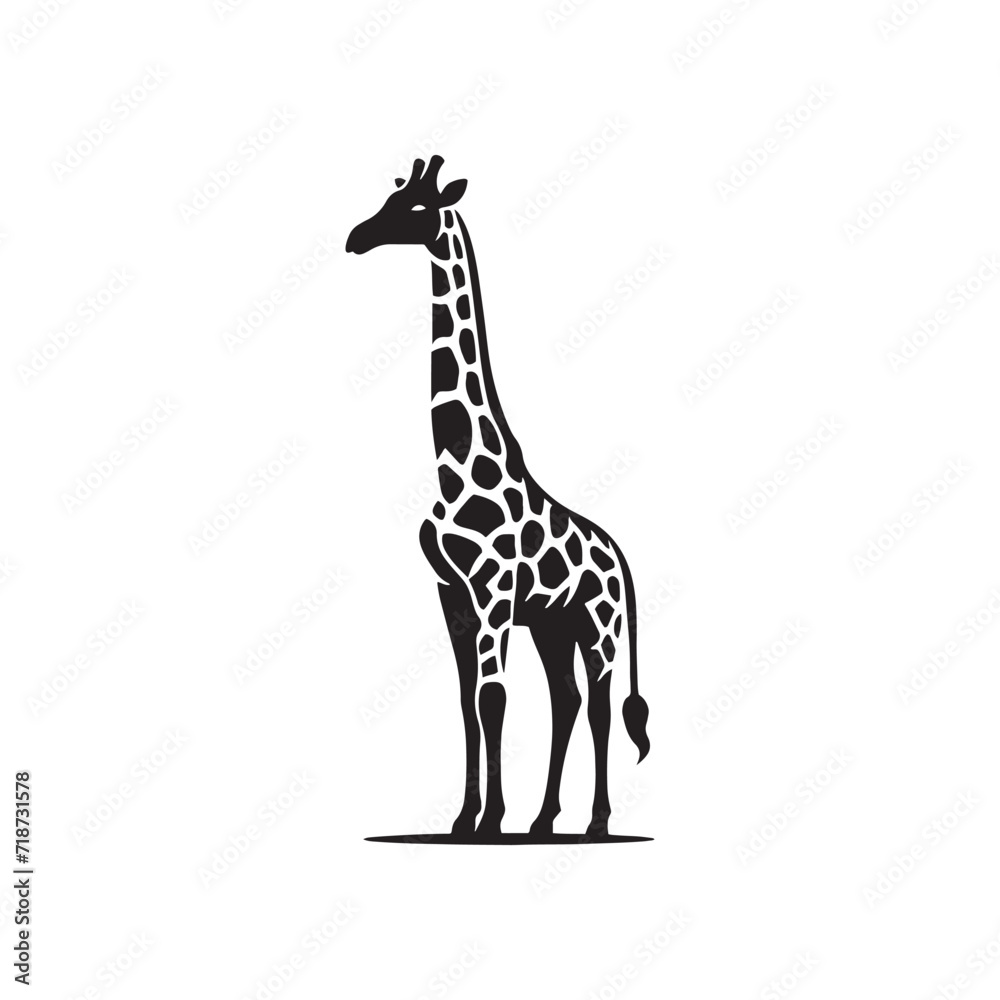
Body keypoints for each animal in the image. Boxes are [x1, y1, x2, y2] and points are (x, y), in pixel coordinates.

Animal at [346, 155, 649, 839]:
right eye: (387, 199)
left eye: (416, 209)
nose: (355, 238)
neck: (454, 470)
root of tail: (619, 557)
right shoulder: (453, 594)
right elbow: (467, 701)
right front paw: (467, 818)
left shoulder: (493, 593)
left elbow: (494, 698)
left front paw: (489, 821)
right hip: (554, 624)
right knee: (566, 700)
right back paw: (544, 820)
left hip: (598, 627)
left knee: (598, 704)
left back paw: (595, 822)